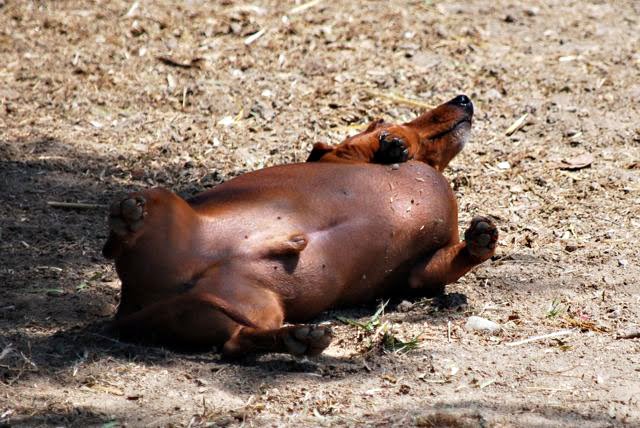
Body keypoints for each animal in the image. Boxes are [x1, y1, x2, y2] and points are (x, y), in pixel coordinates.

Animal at [103, 95, 497, 357]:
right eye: (383, 120)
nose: (464, 98)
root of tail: (129, 308)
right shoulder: (343, 155)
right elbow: (363, 146)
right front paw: (391, 146)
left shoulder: (417, 271)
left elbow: (454, 260)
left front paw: (482, 239)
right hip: (165, 201)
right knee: (120, 237)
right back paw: (129, 218)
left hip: (240, 309)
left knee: (235, 342)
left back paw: (300, 339)